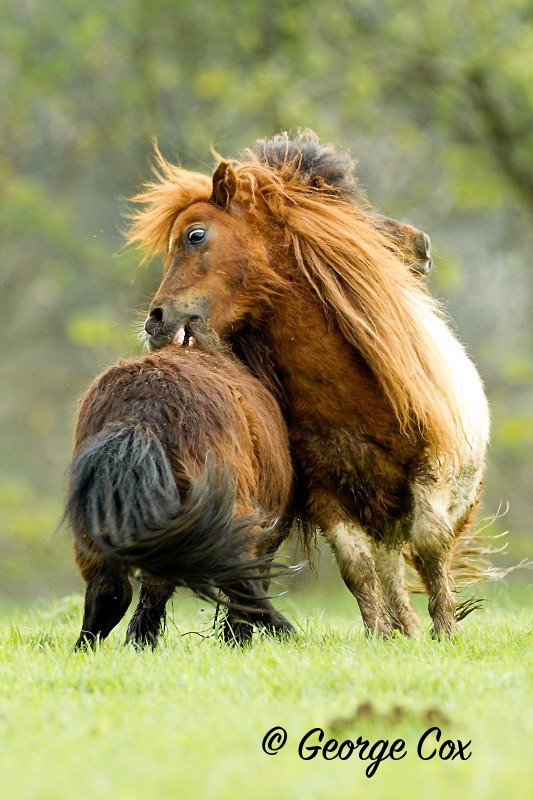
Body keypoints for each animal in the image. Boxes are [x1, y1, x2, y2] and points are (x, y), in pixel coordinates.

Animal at [66, 321, 294, 649]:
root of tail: (142, 413)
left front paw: (142, 640)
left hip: (95, 524)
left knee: (108, 590)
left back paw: (86, 648)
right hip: (233, 512)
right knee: (239, 581)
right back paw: (283, 631)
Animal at [127, 130, 490, 638]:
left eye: (195, 235)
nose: (156, 321)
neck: (351, 398)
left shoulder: (431, 475)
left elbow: (431, 547)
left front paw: (446, 633)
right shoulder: (325, 494)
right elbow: (357, 568)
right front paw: (380, 637)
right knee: (387, 567)